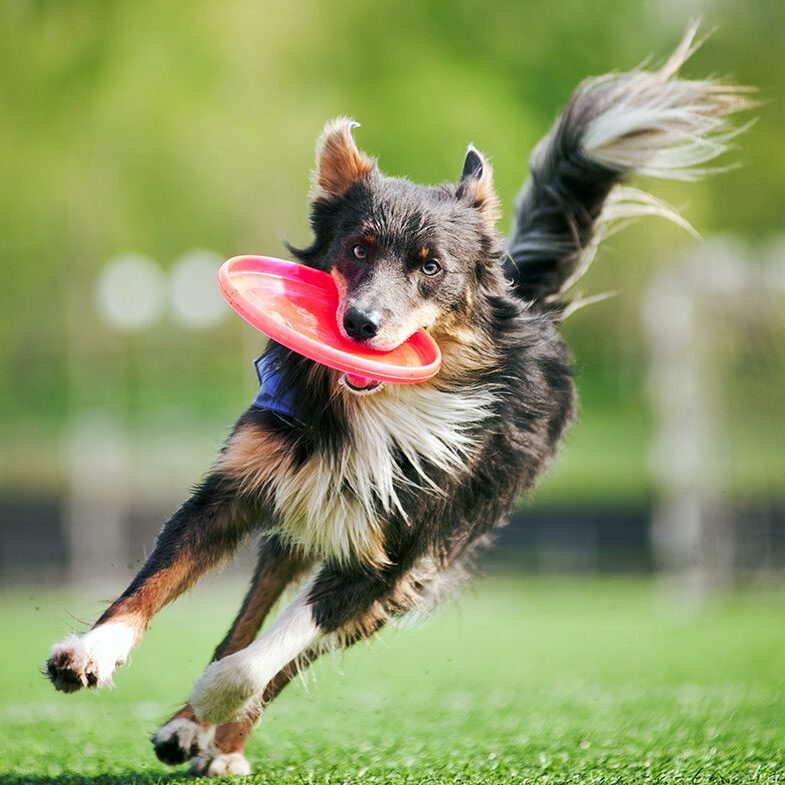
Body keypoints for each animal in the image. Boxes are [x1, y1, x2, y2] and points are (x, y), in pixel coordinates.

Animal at [46, 26, 752, 776]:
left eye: (430, 266)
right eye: (357, 248)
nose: (359, 326)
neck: (371, 409)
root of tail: (529, 298)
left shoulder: (394, 555)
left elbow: (269, 654)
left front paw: (216, 698)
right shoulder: (237, 488)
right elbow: (155, 582)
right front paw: (90, 654)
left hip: (419, 562)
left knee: (286, 655)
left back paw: (220, 738)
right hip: (298, 522)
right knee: (255, 607)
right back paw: (187, 729)